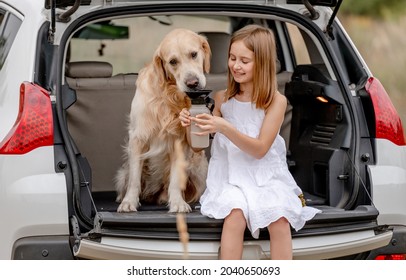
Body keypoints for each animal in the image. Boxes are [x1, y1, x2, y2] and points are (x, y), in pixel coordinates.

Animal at [113, 28, 209, 212]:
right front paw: (129, 202)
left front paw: (178, 202)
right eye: (173, 61)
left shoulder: (180, 140)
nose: (192, 83)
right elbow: (134, 179)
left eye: (194, 54)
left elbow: (176, 178)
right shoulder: (138, 137)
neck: (168, 95)